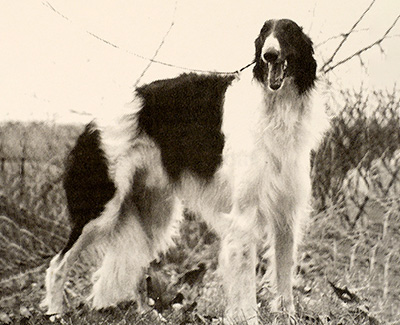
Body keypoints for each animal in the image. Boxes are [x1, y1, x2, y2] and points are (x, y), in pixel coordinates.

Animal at [42, 19, 326, 322]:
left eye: (288, 32)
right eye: (264, 34)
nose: (269, 55)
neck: (276, 109)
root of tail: (91, 125)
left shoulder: (286, 215)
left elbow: (284, 277)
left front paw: (288, 316)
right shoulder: (243, 216)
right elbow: (246, 283)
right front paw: (246, 318)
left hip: (152, 214)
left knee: (133, 266)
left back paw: (147, 314)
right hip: (101, 211)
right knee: (57, 265)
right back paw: (56, 313)